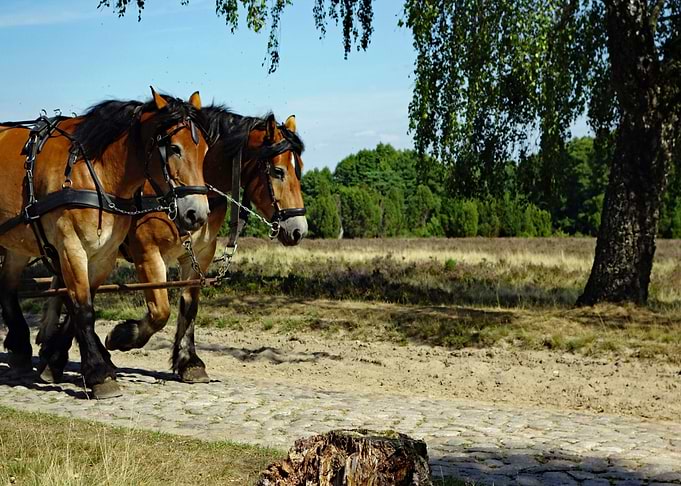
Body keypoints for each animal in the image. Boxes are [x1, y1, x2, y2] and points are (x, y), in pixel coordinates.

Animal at [0, 88, 210, 398]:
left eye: (205, 150)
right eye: (174, 148)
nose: (197, 214)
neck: (97, 173)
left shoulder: (104, 255)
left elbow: (80, 305)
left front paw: (60, 360)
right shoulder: (71, 247)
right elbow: (83, 308)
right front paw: (100, 373)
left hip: (18, 242)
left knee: (8, 287)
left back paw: (20, 347)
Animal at [37, 107, 307, 384]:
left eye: (299, 169)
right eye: (278, 172)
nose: (298, 229)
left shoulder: (199, 255)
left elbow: (189, 306)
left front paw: (189, 362)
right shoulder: (148, 254)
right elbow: (160, 311)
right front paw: (123, 336)